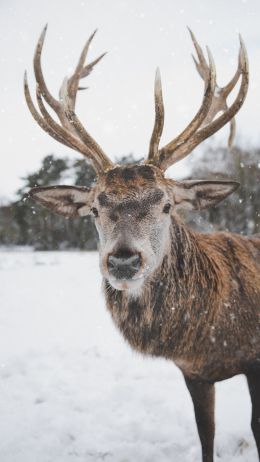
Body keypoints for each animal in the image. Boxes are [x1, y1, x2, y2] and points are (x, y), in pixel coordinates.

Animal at [23, 25, 258, 462]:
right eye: (95, 208)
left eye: (166, 204)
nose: (123, 262)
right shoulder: (194, 373)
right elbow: (206, 434)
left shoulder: (255, 361)